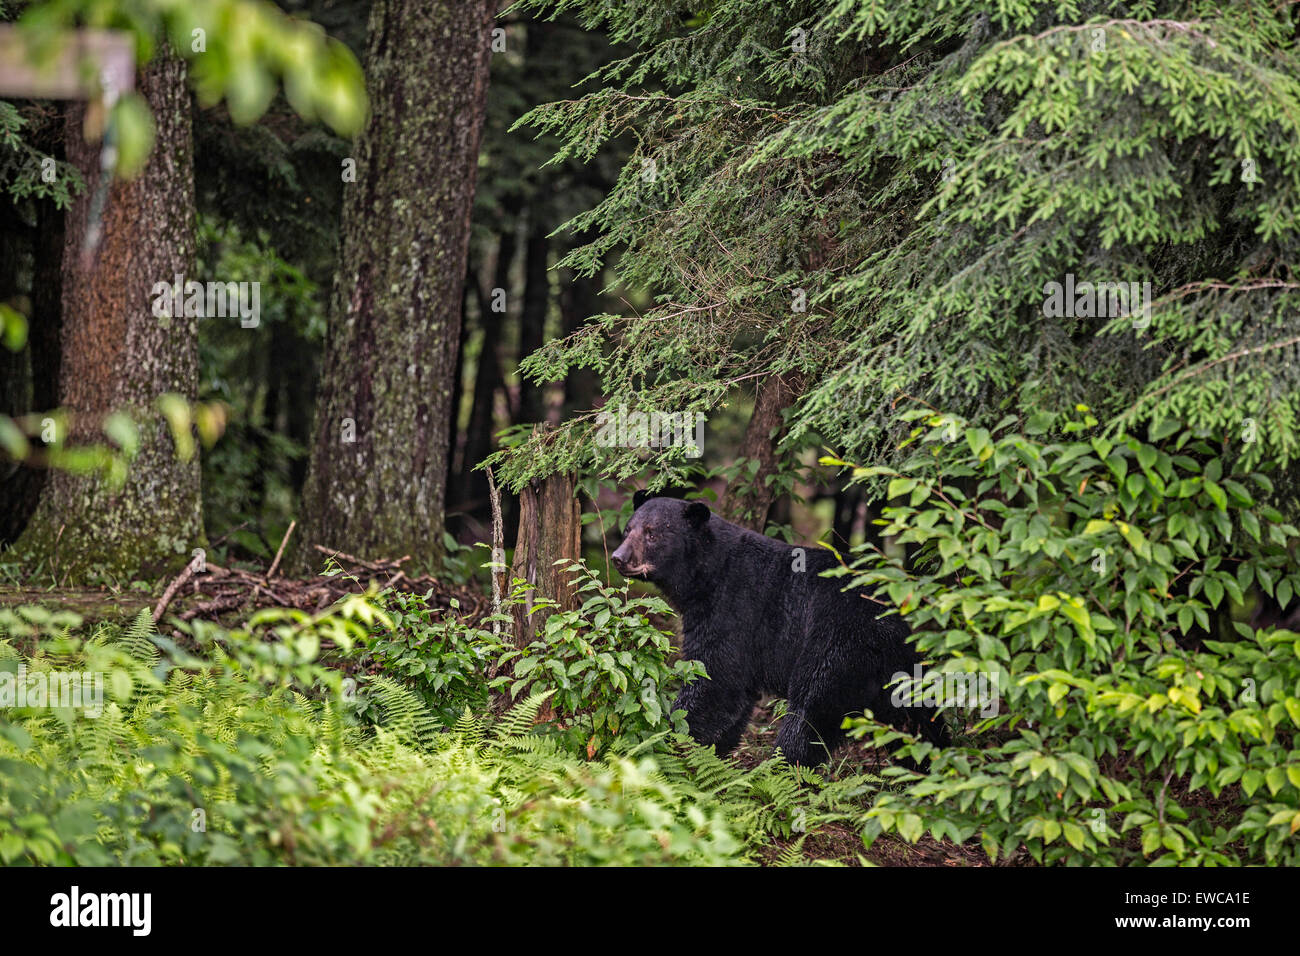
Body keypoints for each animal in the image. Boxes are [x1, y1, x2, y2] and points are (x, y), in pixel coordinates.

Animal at [610, 492, 948, 766]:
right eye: (628, 529)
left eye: (652, 533)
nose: (619, 558)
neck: (706, 575)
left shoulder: (732, 610)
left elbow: (715, 680)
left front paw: (667, 737)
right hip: (902, 666)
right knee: (918, 714)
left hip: (836, 644)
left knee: (810, 709)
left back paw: (778, 764)